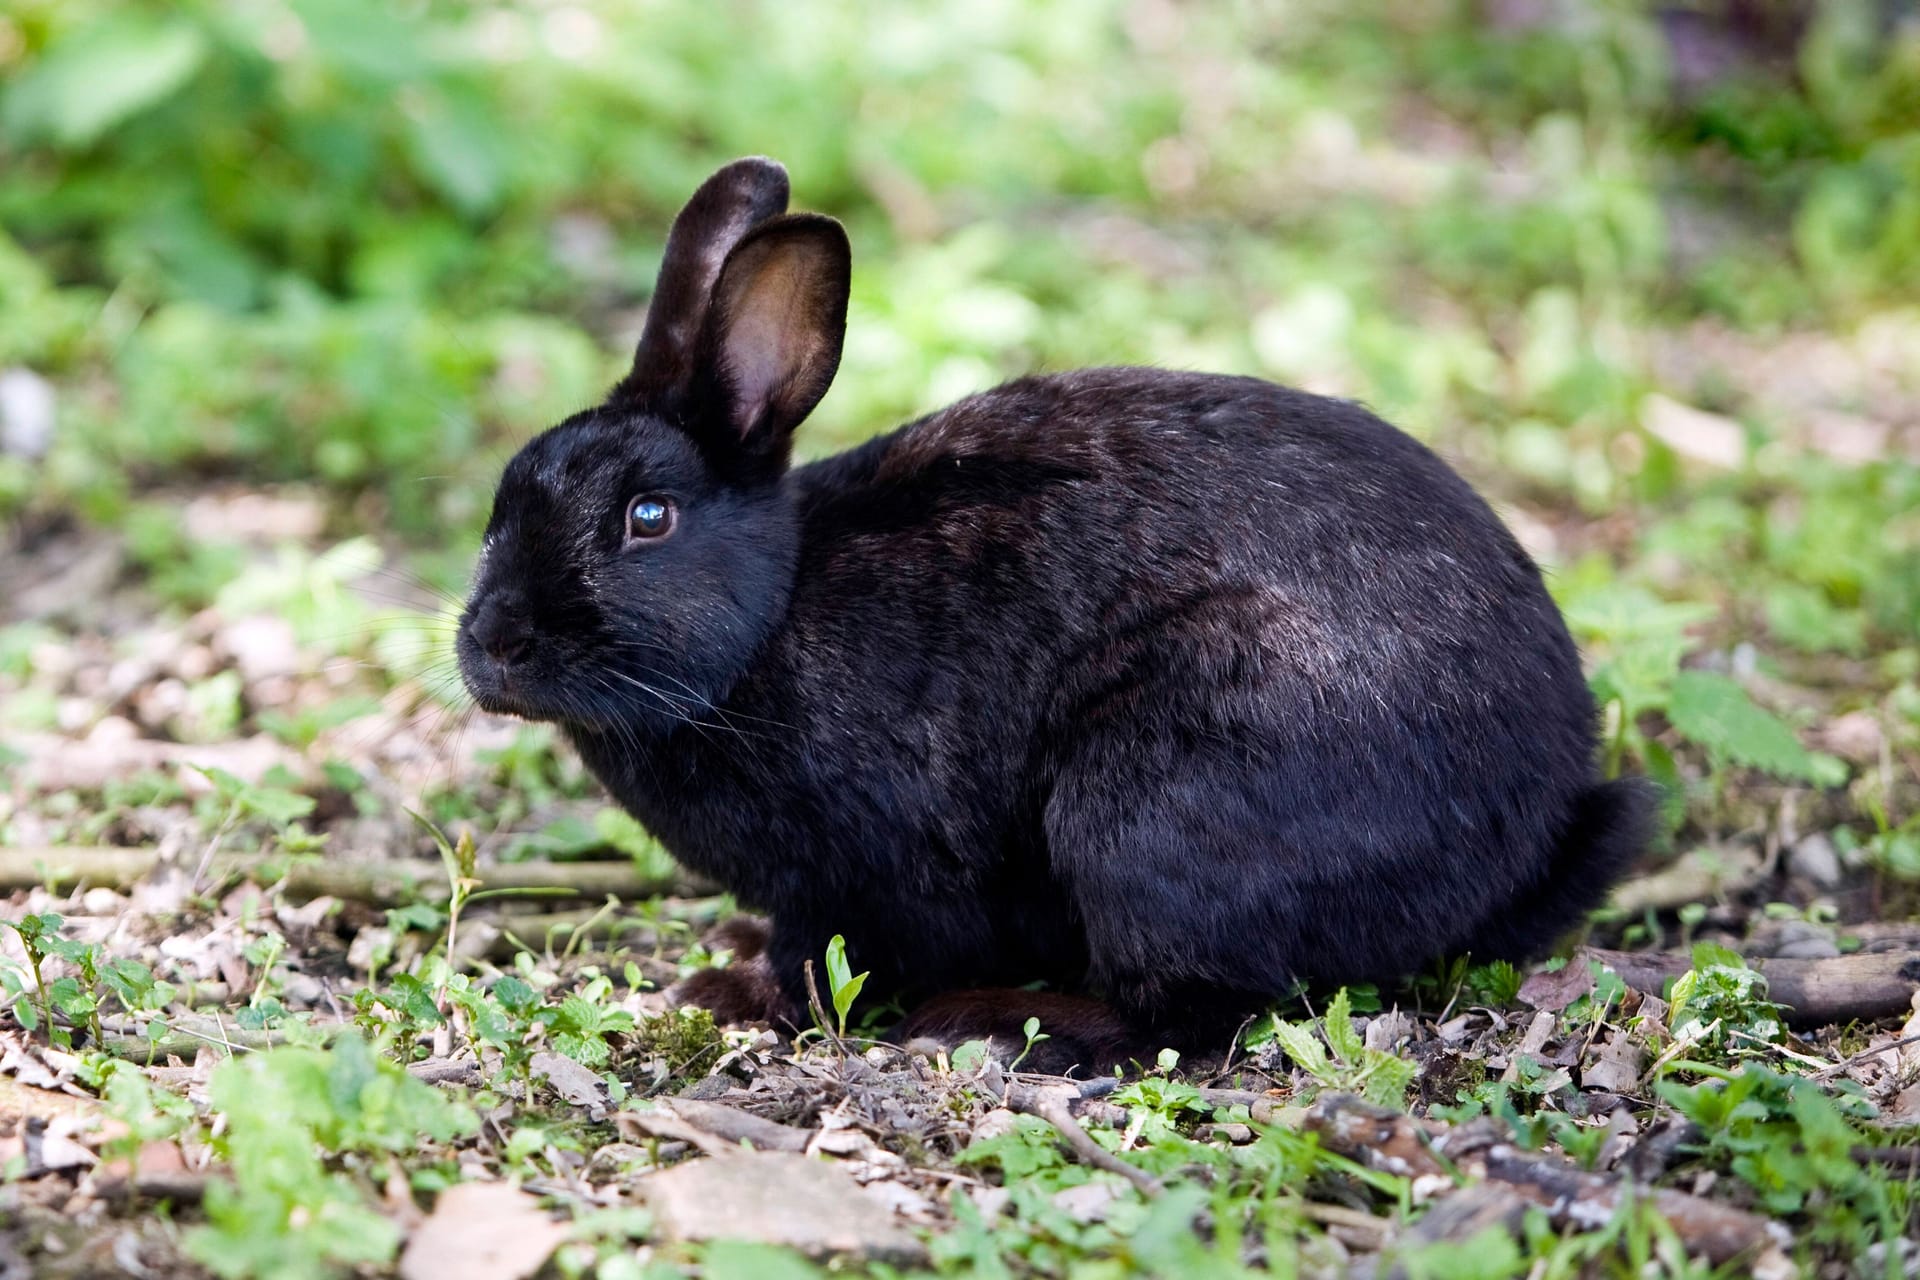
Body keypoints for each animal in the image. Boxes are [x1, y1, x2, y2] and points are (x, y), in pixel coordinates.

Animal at [460, 152, 1651, 1074]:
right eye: (501, 501)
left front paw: (731, 992)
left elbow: (835, 957)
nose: (493, 647)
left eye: (646, 518)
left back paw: (997, 1023)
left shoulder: (863, 875)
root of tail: (1530, 831)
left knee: (1192, 1014)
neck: (770, 617)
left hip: (1154, 795)